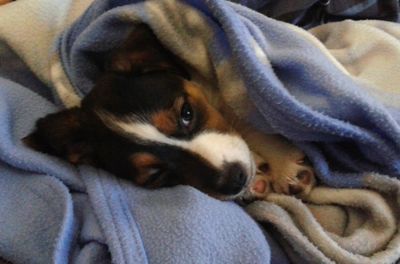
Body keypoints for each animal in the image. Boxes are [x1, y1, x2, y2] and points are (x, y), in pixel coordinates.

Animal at [24, 24, 316, 200]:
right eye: (157, 174)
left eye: (187, 113)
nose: (236, 180)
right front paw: (256, 182)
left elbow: (250, 123)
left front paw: (285, 167)